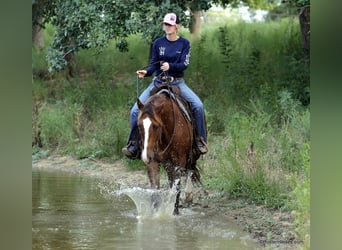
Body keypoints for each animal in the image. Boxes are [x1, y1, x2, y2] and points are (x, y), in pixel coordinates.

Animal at [136, 86, 200, 215]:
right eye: (139, 125)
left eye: (156, 126)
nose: (145, 157)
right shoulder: (153, 161)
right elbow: (155, 188)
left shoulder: (179, 161)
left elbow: (177, 187)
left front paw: (175, 212)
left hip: (190, 155)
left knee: (189, 170)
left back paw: (188, 196)